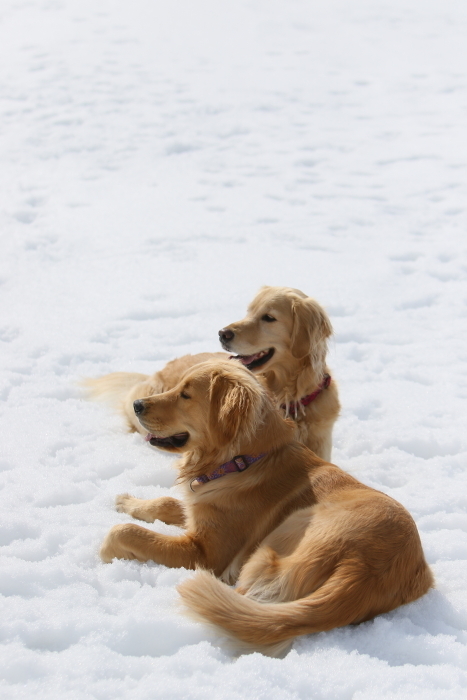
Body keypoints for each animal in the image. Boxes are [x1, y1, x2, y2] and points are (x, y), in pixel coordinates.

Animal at [100, 360, 434, 656]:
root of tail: (364, 570)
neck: (244, 459)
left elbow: (126, 532)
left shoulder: (206, 553)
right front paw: (129, 501)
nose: (137, 404)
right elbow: (169, 502)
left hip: (283, 533)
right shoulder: (200, 510)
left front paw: (106, 550)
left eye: (186, 394)